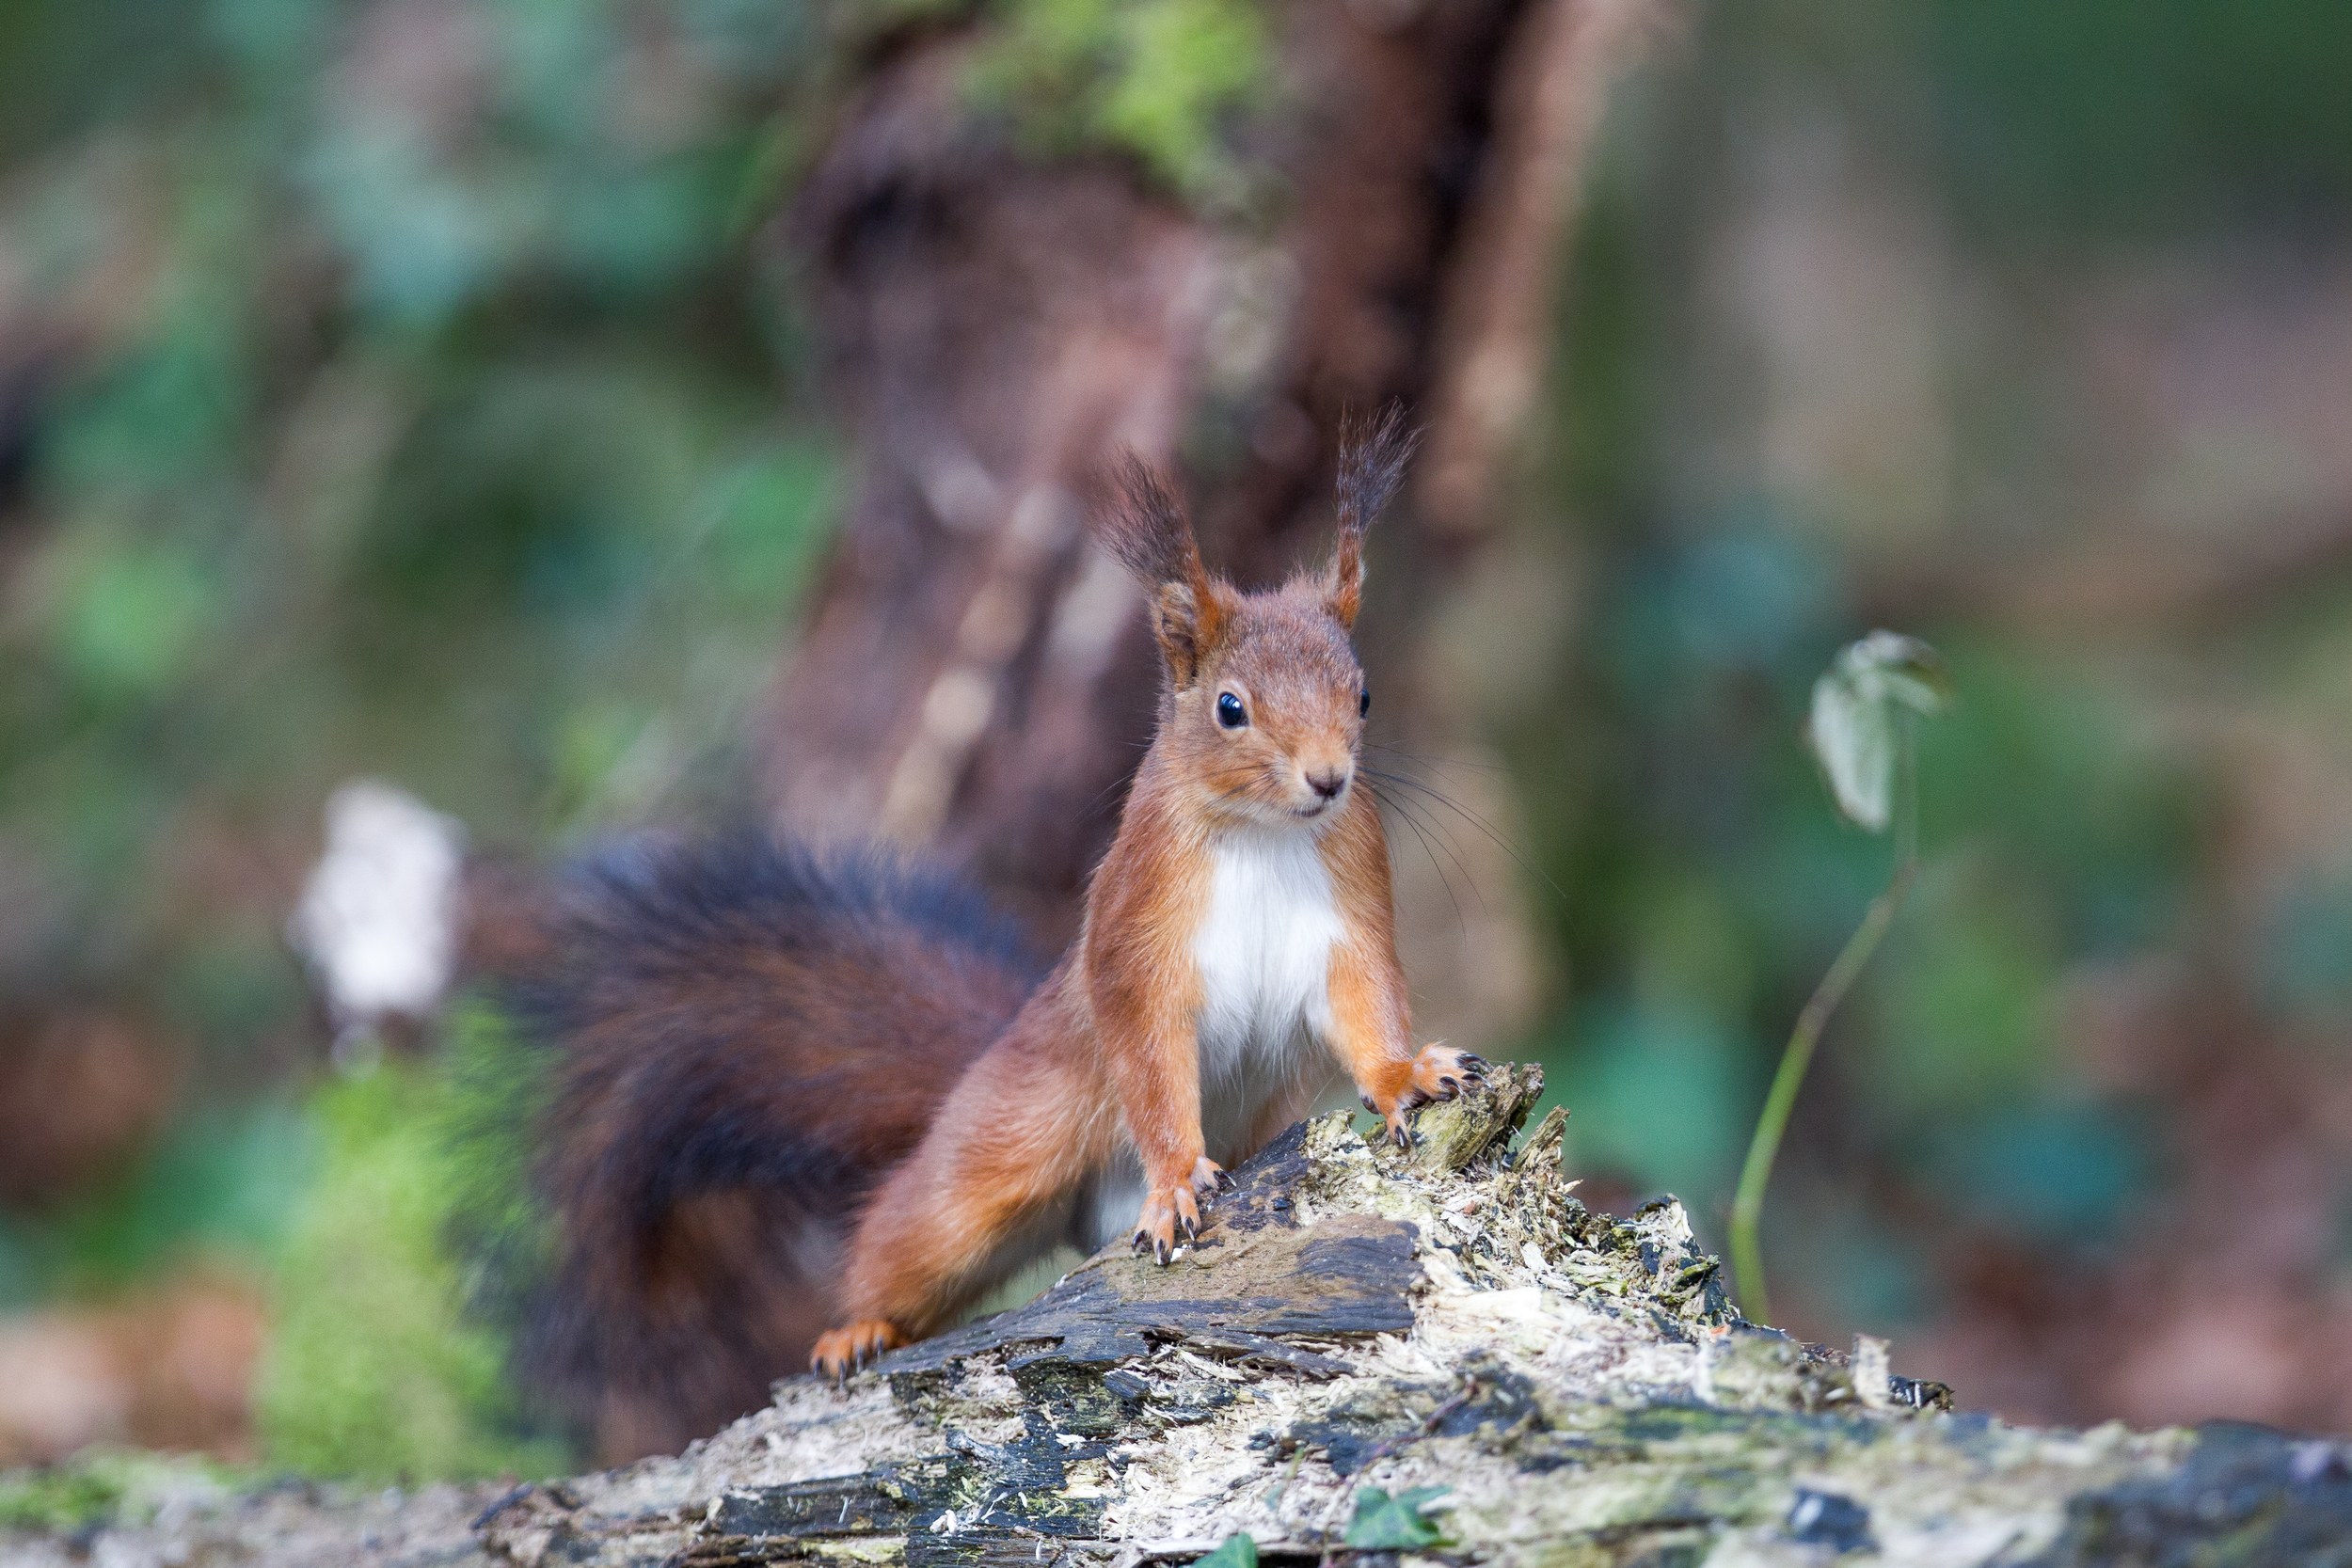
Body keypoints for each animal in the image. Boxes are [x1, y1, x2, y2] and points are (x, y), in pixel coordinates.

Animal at [513, 413, 1477, 1457]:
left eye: (1364, 694)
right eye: (1231, 708)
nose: (1328, 779)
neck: (1264, 835)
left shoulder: (1350, 905)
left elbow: (1364, 1004)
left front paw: (1407, 1073)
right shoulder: (1136, 938)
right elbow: (1150, 1057)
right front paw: (1177, 1178)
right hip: (990, 1163)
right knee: (906, 1239)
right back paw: (859, 1326)